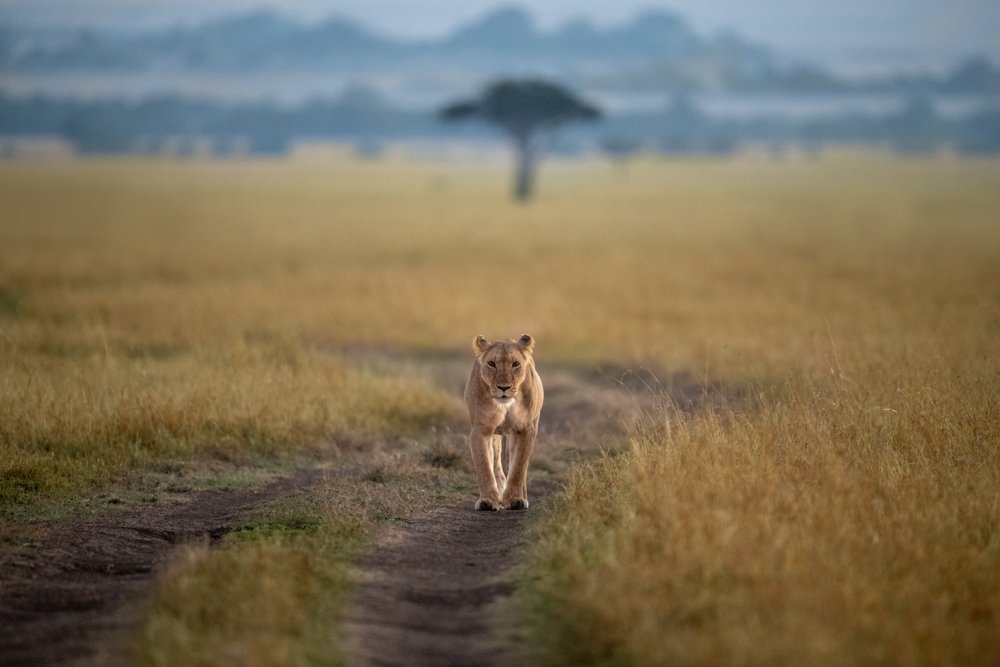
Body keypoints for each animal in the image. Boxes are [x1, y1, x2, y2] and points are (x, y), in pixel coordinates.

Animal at [464, 334, 544, 511]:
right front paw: (488, 500)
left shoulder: (525, 429)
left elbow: (518, 467)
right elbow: (484, 466)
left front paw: (515, 499)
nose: (504, 387)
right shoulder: (481, 429)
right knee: (496, 464)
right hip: (496, 436)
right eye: (491, 364)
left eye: (515, 364)